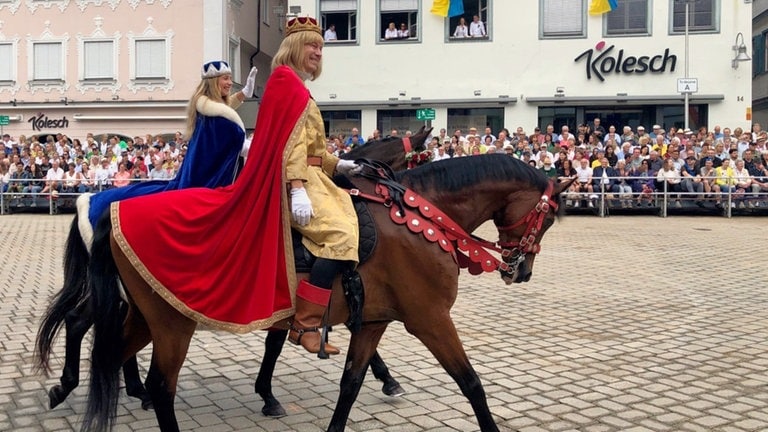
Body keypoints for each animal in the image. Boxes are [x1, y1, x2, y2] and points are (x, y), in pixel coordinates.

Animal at [34, 128, 432, 416]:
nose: (403, 203)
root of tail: (92, 203)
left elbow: (282, 340)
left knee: (89, 323)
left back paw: (126, 387)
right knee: (82, 322)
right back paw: (94, 386)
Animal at [84, 155, 572, 432]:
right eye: (548, 218)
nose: (522, 270)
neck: (420, 216)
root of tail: (116, 206)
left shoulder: (374, 321)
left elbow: (350, 385)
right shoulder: (430, 320)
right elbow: (471, 383)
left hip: (145, 319)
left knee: (110, 360)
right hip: (172, 325)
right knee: (160, 387)